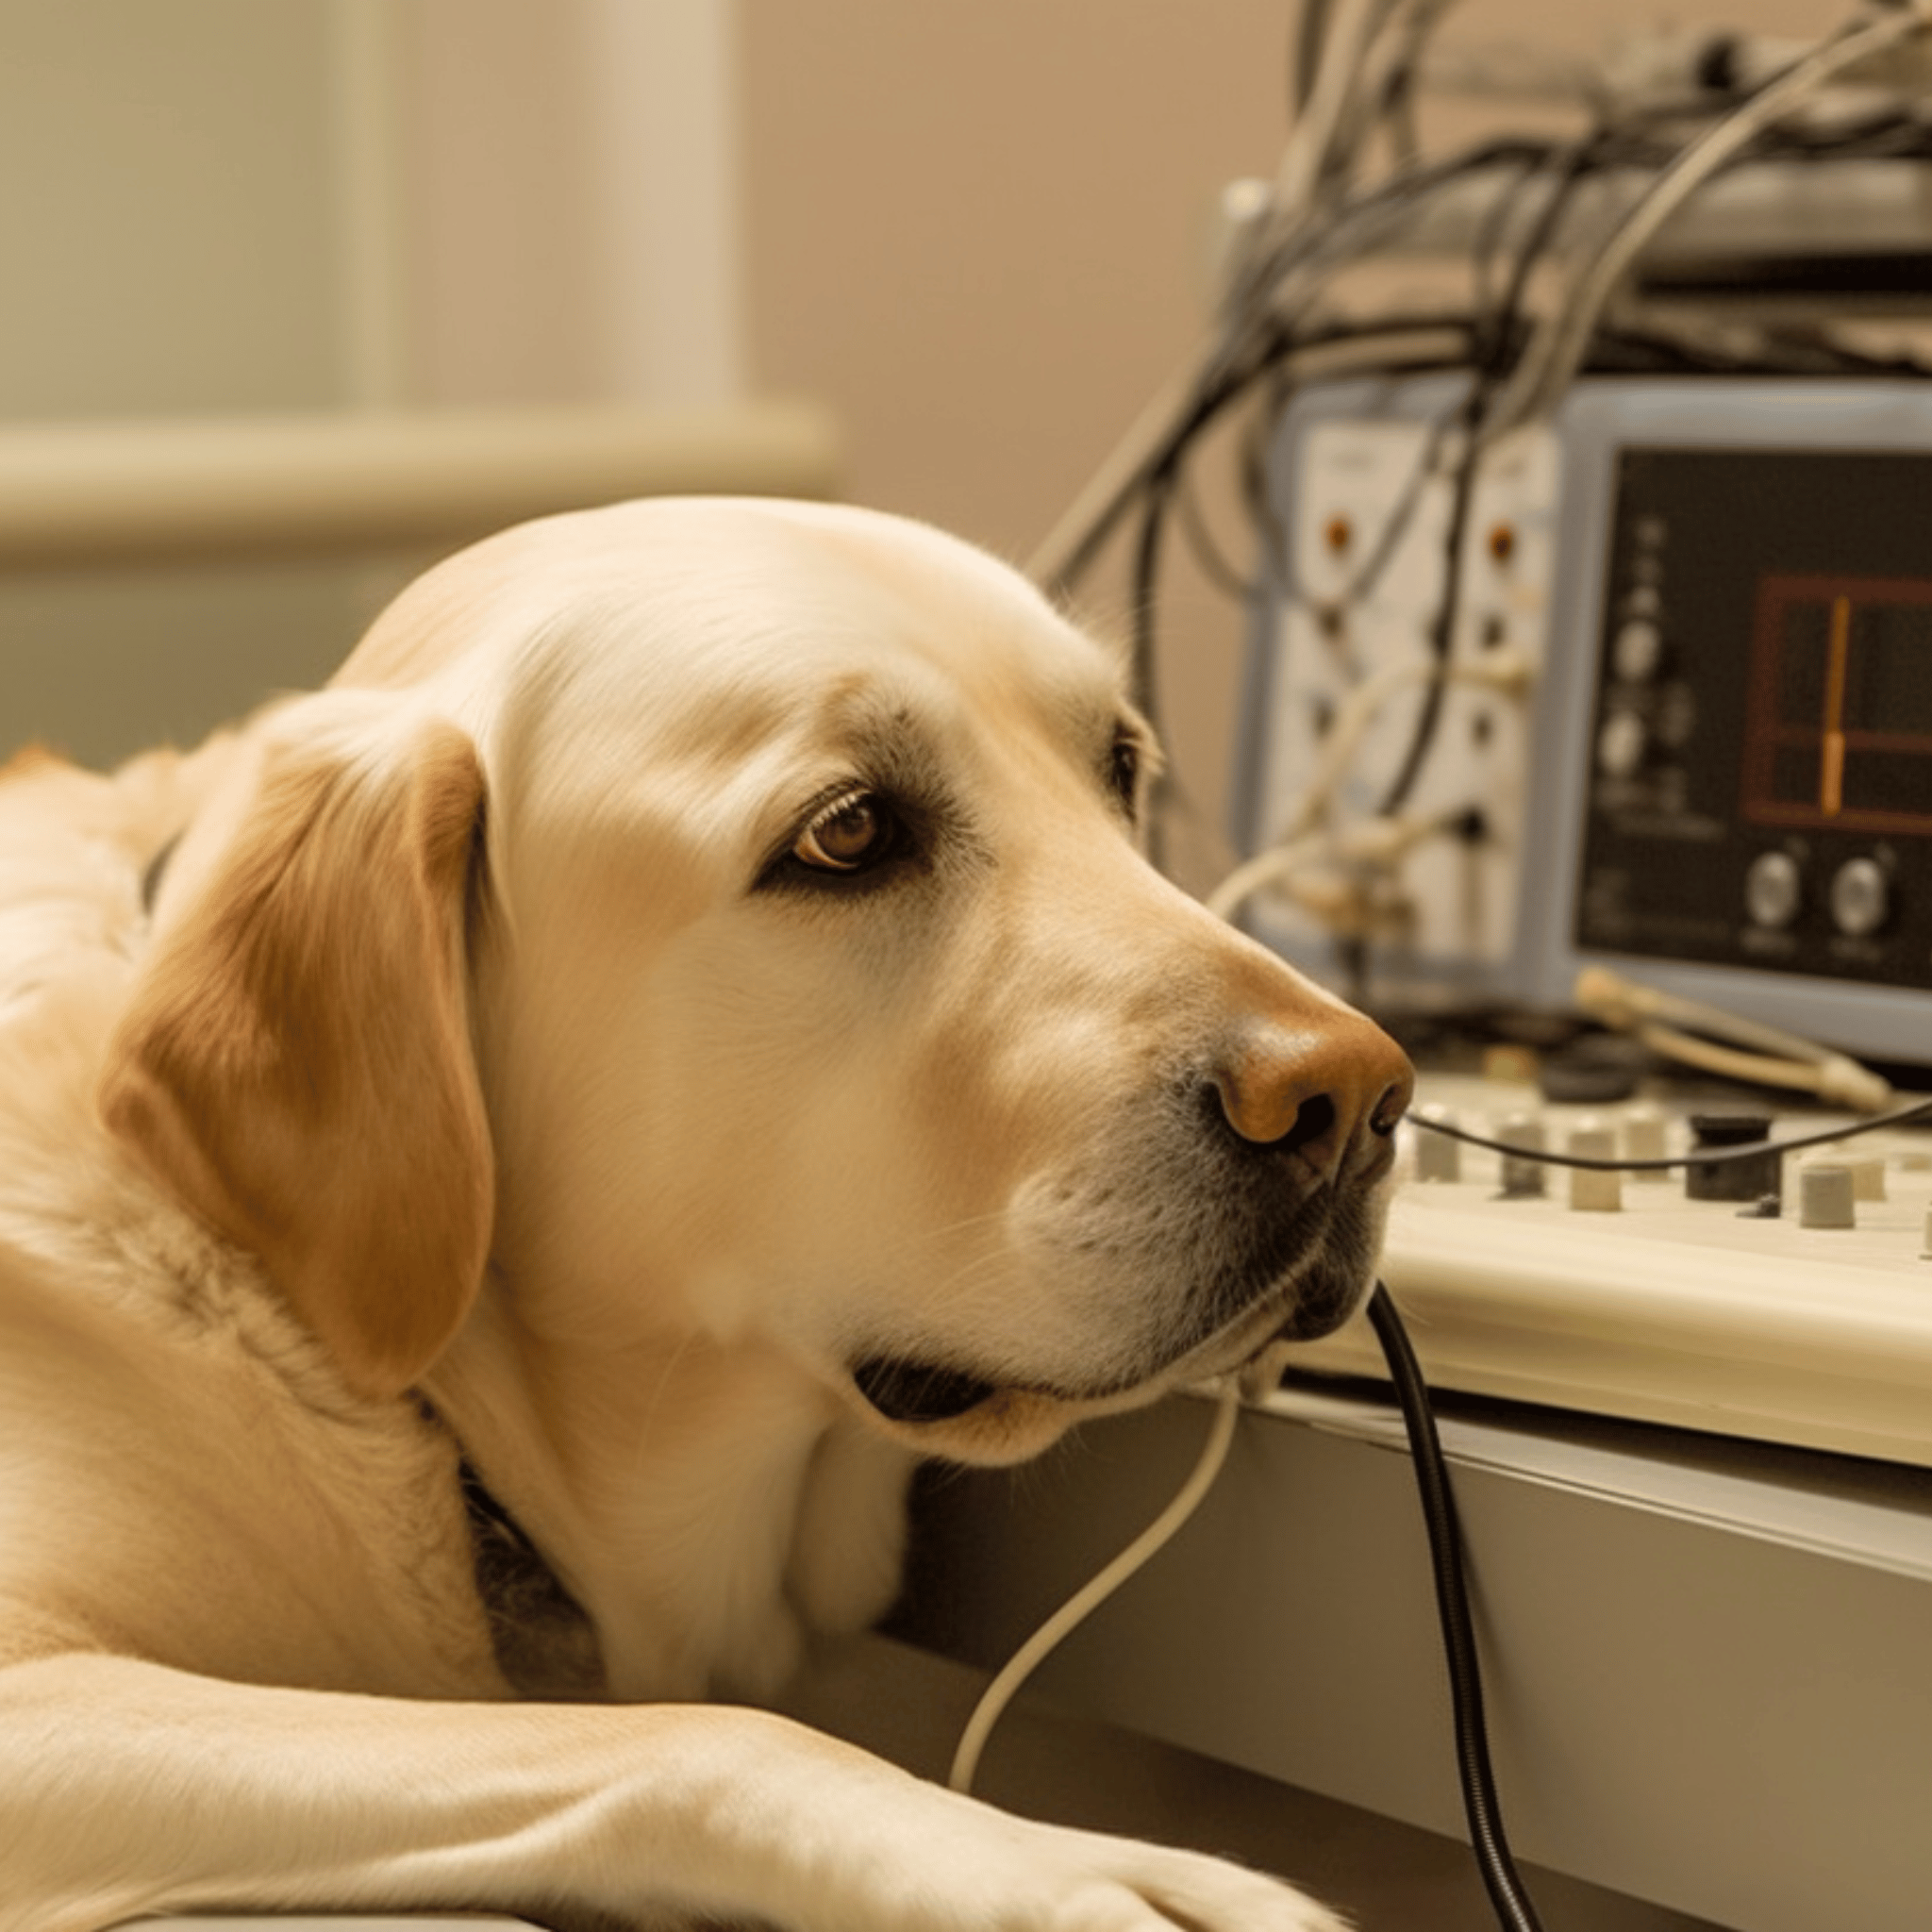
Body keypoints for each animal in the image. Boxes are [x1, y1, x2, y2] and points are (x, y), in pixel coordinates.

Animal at [8, 502, 1414, 1932]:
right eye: (846, 832)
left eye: (1119, 766)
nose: (1356, 1097)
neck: (429, 1421)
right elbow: (706, 1732)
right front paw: (1056, 1865)